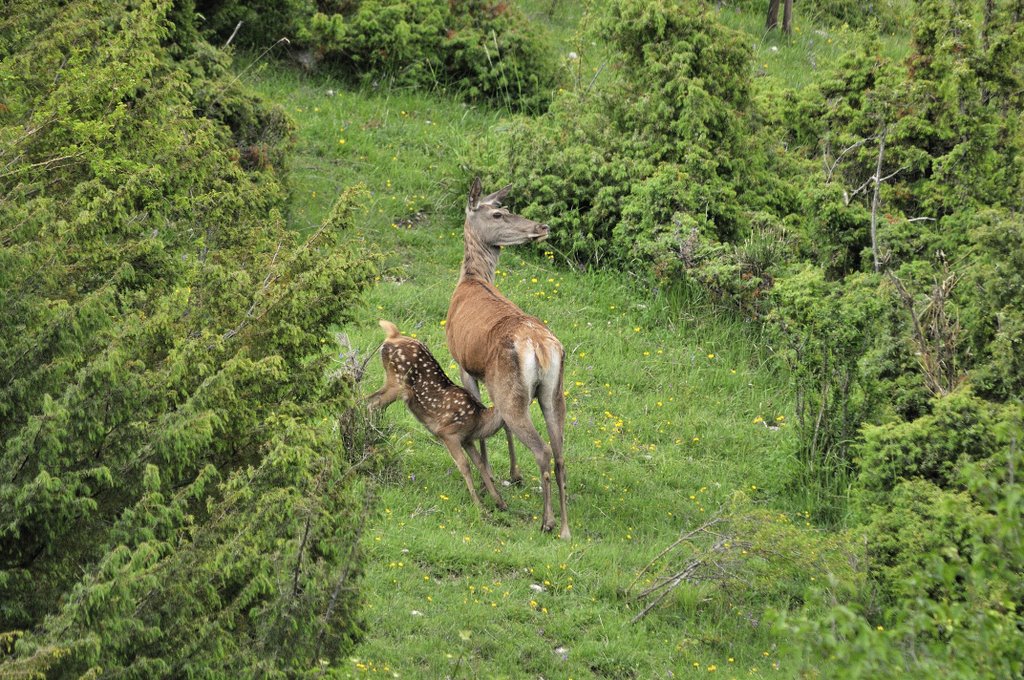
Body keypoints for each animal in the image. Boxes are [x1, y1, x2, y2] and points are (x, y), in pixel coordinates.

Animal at [444, 178, 569, 540]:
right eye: (499, 212)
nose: (542, 227)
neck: (471, 278)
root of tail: (541, 347)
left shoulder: (464, 364)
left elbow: (480, 423)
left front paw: (489, 480)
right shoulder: (493, 380)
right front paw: (514, 474)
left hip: (512, 389)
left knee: (542, 450)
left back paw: (547, 521)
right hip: (551, 393)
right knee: (560, 454)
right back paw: (566, 529)